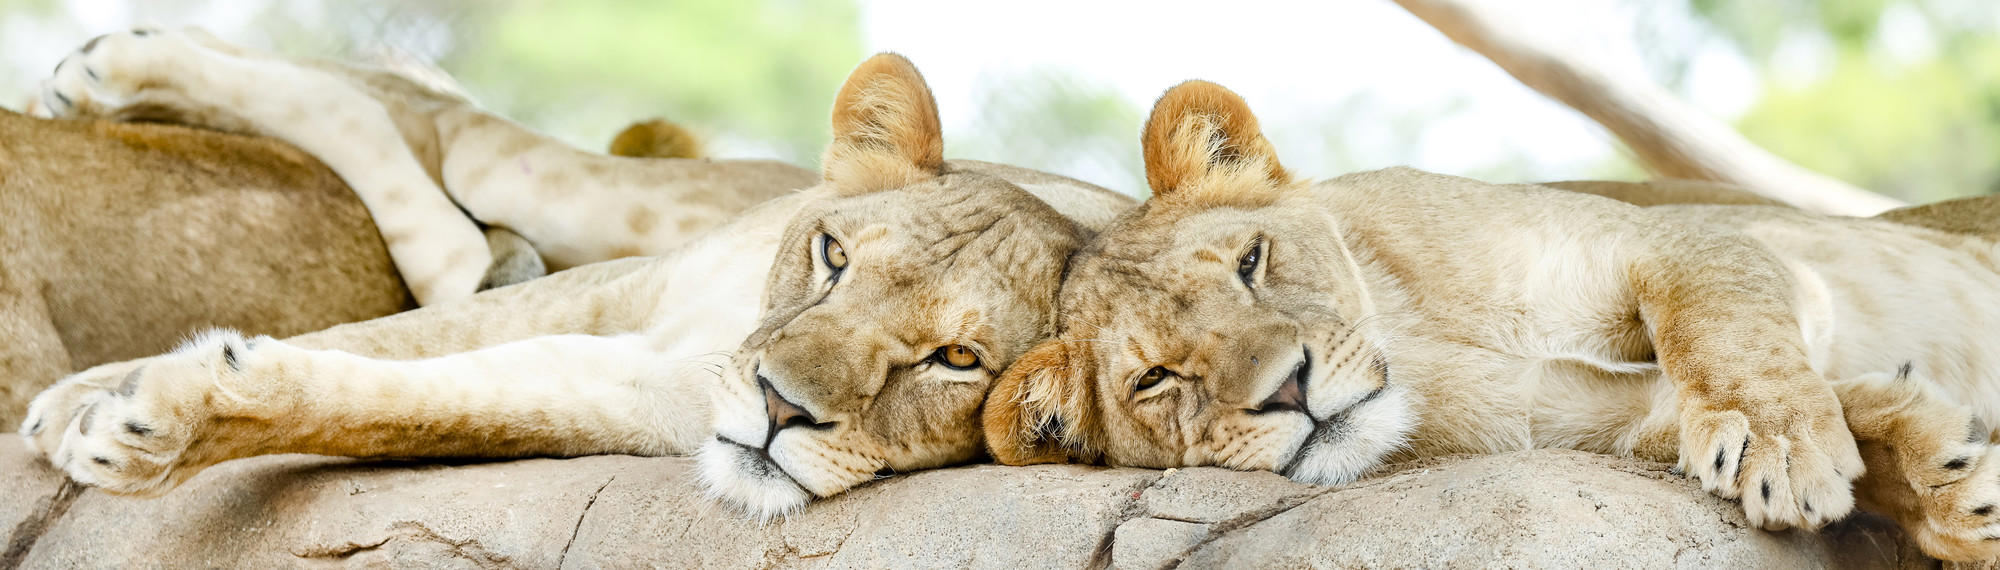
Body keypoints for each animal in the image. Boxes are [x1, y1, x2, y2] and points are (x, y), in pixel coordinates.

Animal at [983, 81, 2000, 561]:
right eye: (1155, 378)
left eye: (1250, 262)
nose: (1290, 391)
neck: (1426, 342)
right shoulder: (1607, 425)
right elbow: (1837, 411)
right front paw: (1947, 482)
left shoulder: (1679, 238)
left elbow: (1726, 329)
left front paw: (1784, 445)